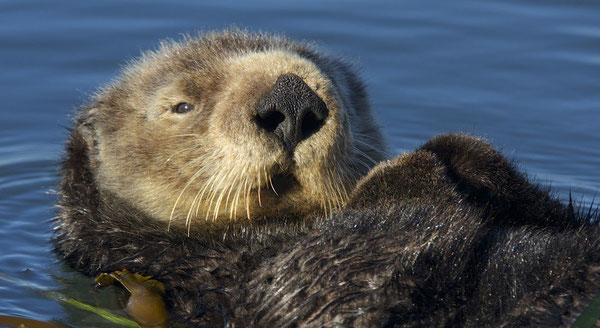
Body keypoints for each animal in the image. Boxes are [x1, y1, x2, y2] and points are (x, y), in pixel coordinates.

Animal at [54, 29, 596, 326]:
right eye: (182, 105)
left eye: (338, 85)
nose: (293, 100)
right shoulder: (211, 285)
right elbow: (318, 285)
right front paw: (408, 168)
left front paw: (461, 151)